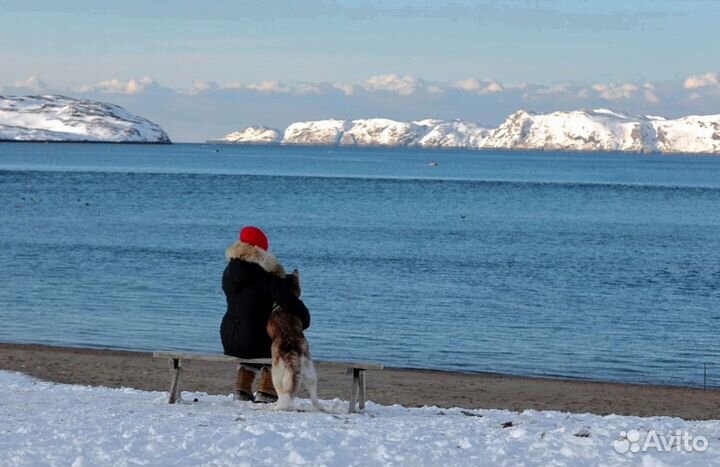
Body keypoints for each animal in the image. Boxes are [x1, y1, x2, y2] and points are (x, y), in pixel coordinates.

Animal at [266, 270, 324, 414]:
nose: (296, 269)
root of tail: (292, 350)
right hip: (310, 371)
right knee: (313, 394)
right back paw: (320, 407)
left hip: (277, 374)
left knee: (282, 393)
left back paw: (278, 406)